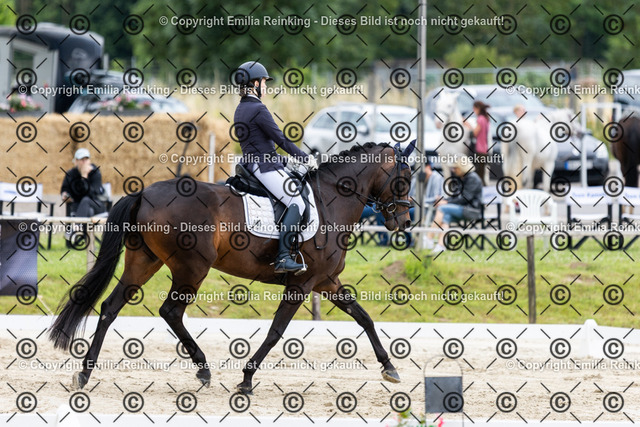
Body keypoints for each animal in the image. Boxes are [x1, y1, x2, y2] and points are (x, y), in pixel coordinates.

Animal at [48, 142, 415, 394]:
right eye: (404, 179)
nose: (405, 222)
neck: (331, 202)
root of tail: (144, 194)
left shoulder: (327, 282)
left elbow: (364, 317)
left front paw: (389, 368)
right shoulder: (302, 283)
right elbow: (275, 331)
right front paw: (247, 379)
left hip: (144, 261)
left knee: (110, 307)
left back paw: (85, 373)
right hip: (192, 267)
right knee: (170, 311)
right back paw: (203, 370)